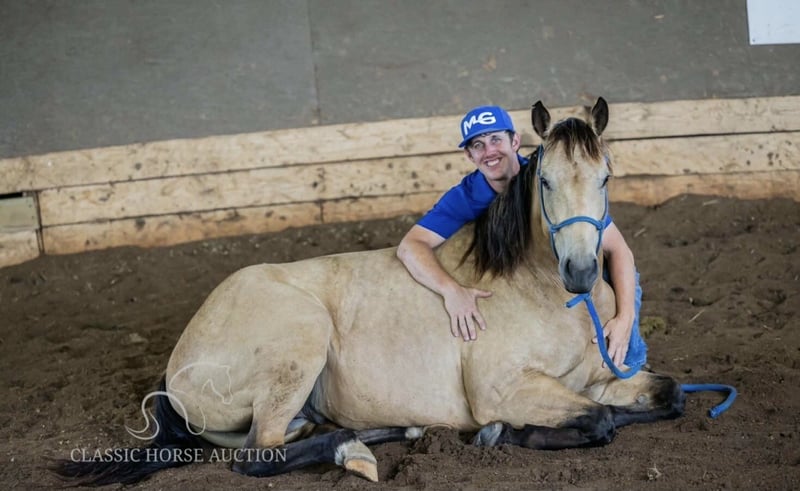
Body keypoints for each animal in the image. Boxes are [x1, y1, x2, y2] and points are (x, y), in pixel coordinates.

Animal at [53, 98, 685, 486]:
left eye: (606, 177)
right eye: (546, 181)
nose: (580, 270)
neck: (540, 291)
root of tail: (177, 363)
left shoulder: (604, 378)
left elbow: (667, 395)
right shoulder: (505, 389)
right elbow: (597, 422)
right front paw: (501, 433)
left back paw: (385, 431)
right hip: (299, 342)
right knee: (259, 452)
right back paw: (352, 449)